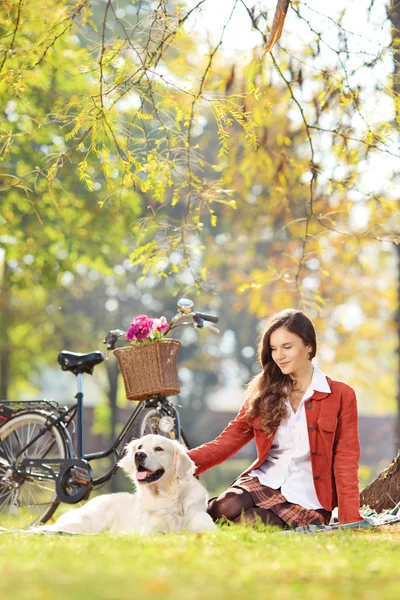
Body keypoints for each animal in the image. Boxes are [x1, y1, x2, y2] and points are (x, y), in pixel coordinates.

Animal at [37, 434, 216, 536]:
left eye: (159, 448)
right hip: (85, 522)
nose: (139, 455)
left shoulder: (207, 527)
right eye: (140, 446)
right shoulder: (151, 531)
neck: (167, 495)